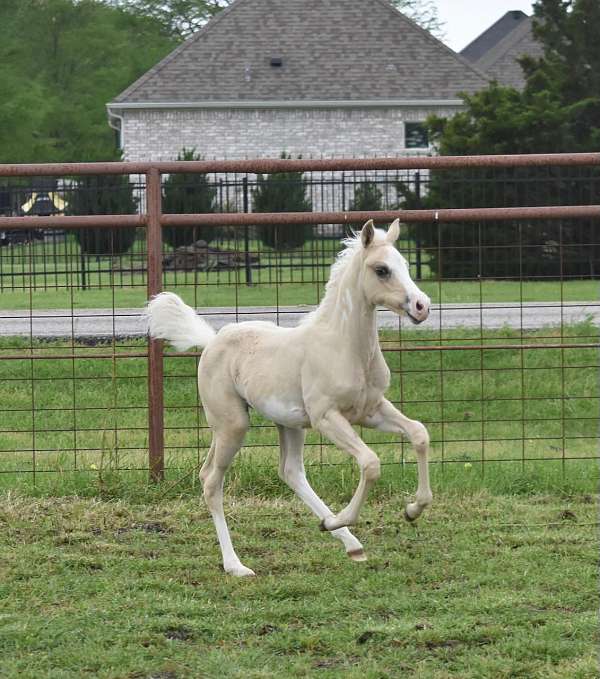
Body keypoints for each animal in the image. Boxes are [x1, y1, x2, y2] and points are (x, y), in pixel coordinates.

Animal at [148, 220, 434, 576]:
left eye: (406, 265)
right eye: (381, 269)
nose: (422, 307)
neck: (344, 346)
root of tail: (213, 339)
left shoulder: (372, 410)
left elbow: (419, 433)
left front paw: (413, 509)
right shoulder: (327, 418)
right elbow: (370, 463)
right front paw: (344, 518)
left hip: (287, 423)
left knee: (289, 471)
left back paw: (346, 540)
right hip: (233, 424)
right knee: (213, 482)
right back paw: (236, 565)